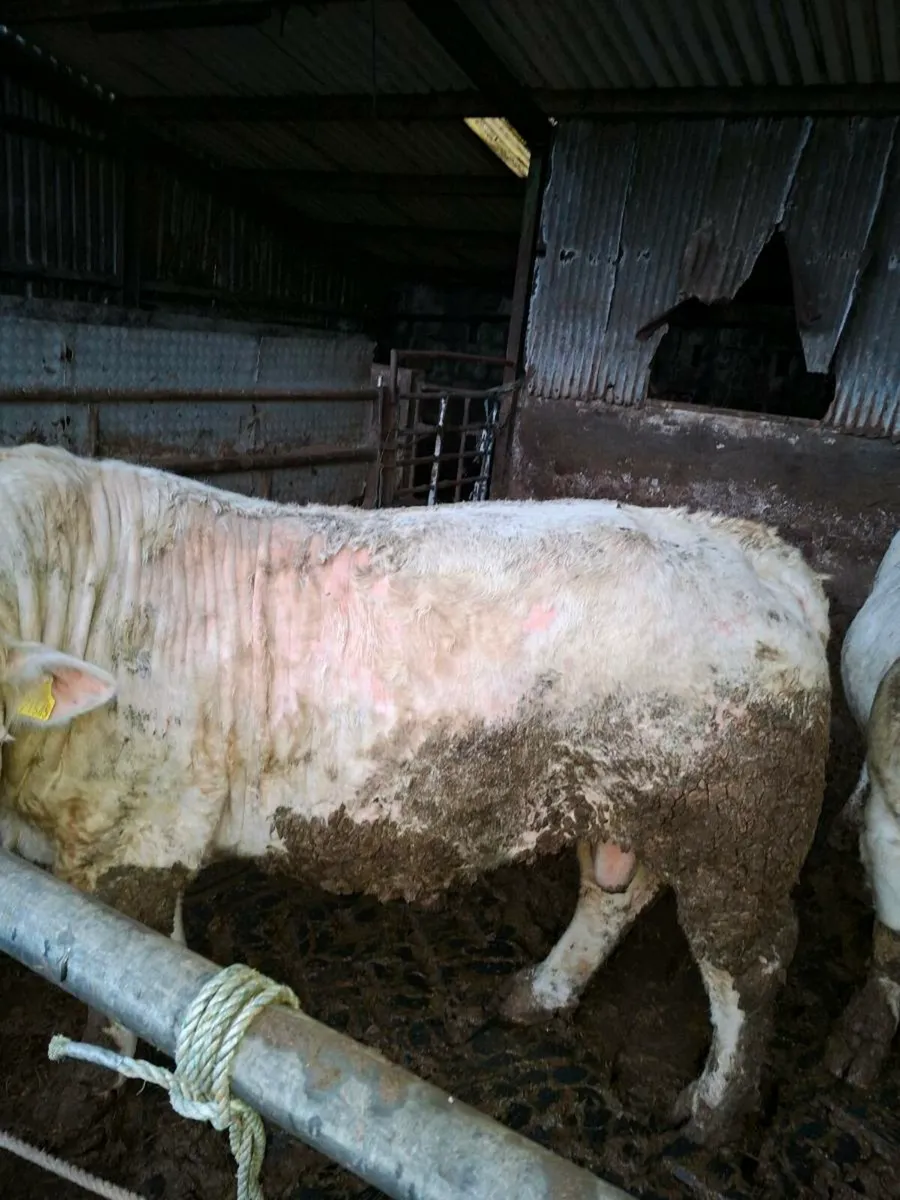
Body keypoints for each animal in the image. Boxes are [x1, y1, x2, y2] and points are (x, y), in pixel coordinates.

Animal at [0, 444, 831, 1145]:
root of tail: (764, 553)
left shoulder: (137, 832)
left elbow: (119, 974)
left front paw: (97, 1087)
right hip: (622, 797)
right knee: (613, 896)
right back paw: (539, 994)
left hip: (738, 827)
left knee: (749, 961)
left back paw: (715, 1110)